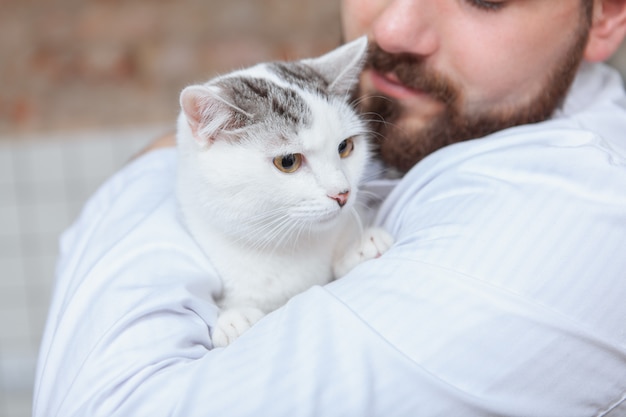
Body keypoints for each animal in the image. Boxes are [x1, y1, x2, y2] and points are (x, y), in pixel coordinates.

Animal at [174, 37, 390, 346]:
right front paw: (234, 320)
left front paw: (361, 246)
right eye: (288, 161)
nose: (342, 194)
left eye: (345, 147)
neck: (286, 246)